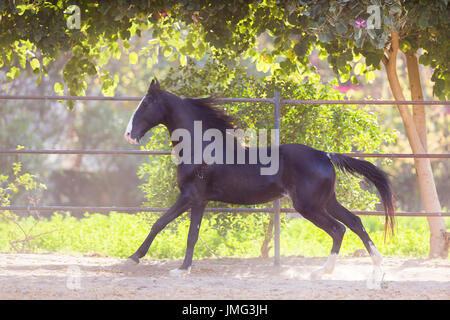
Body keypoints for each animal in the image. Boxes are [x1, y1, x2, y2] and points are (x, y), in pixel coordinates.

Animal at [123, 79, 394, 278]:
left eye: (146, 103)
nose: (128, 135)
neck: (201, 148)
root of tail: (326, 155)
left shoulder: (192, 197)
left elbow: (172, 227)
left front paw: (171, 267)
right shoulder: (198, 200)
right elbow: (175, 228)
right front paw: (144, 260)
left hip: (309, 206)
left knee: (338, 229)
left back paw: (323, 271)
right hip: (327, 202)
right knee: (355, 222)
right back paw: (376, 264)